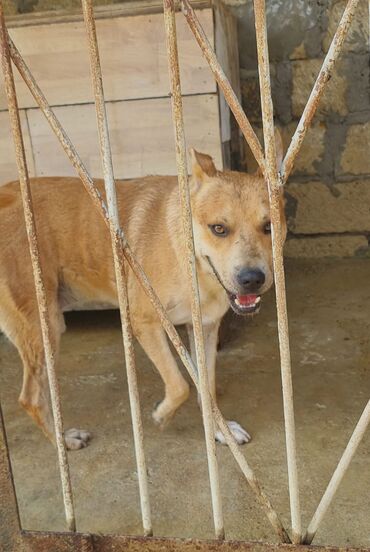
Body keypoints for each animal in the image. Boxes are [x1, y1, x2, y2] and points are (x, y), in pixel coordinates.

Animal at [0, 140, 286, 450]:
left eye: (268, 226)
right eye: (219, 228)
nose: (252, 280)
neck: (190, 263)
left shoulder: (205, 328)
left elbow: (206, 386)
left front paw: (221, 432)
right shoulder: (145, 322)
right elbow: (180, 385)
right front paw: (163, 414)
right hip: (45, 327)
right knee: (30, 398)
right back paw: (63, 440)